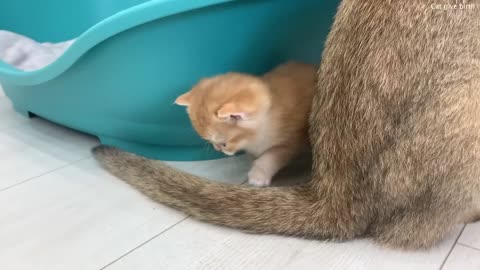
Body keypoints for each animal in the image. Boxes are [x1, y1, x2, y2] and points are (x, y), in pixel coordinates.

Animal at [174, 62, 316, 187]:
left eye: (224, 144)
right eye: (211, 142)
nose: (218, 149)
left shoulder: (290, 141)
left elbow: (270, 156)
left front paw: (258, 175)